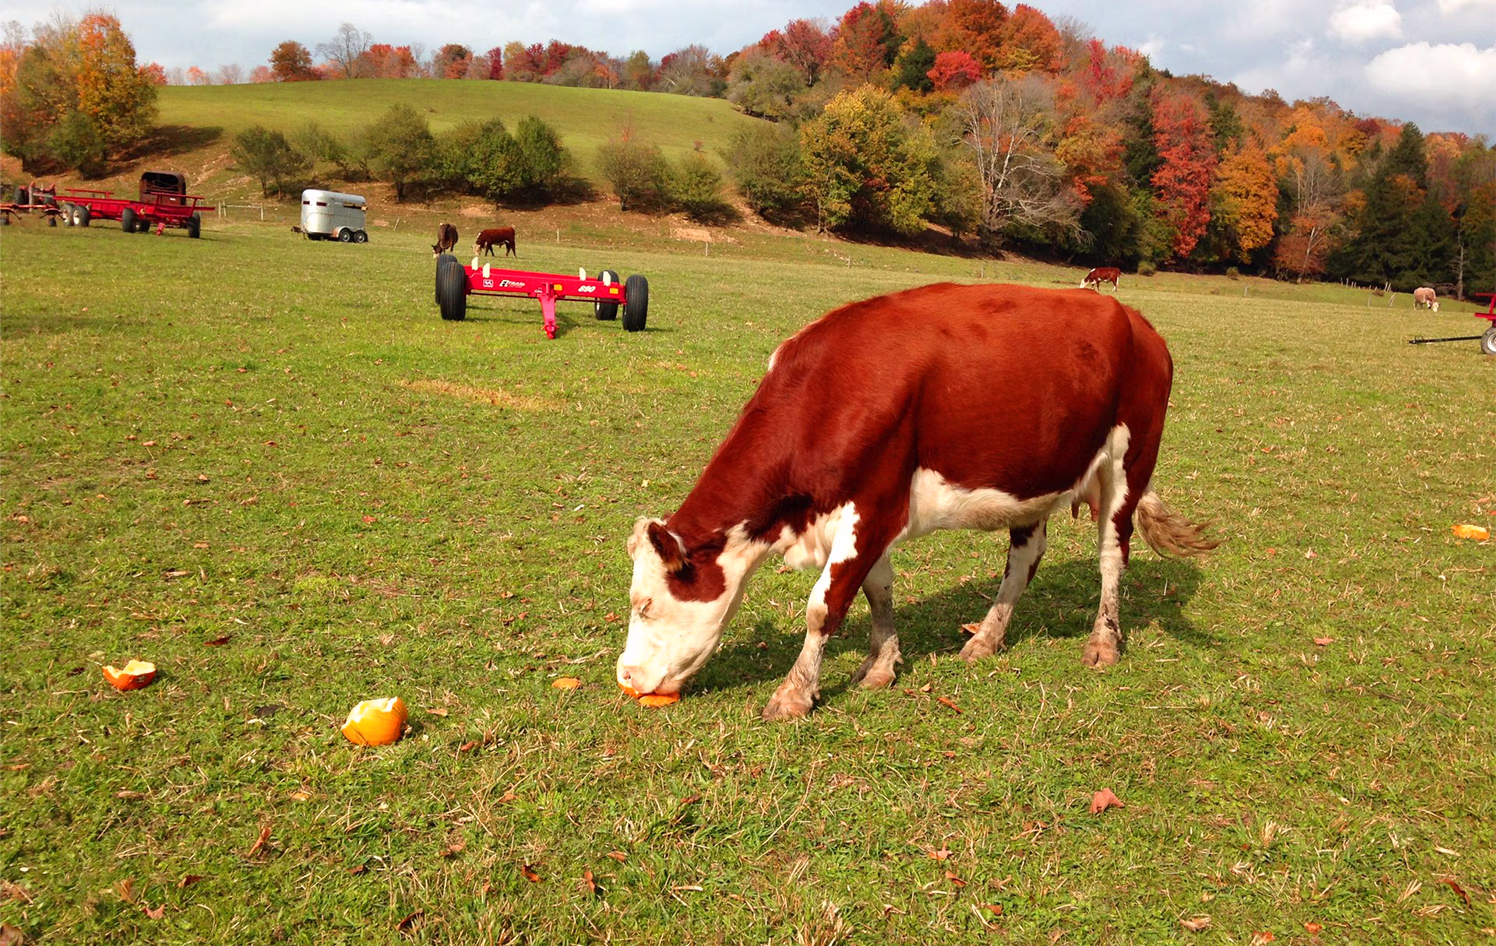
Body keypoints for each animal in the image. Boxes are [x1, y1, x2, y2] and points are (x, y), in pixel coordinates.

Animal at [618, 283, 1218, 721]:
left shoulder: (872, 506)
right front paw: (882, 664)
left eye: (644, 604)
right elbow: (877, 589)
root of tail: (1135, 320)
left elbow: (824, 606)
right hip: (1035, 474)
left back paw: (1103, 642)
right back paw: (987, 638)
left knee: (1112, 556)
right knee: (1024, 559)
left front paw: (794, 693)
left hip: (1128, 464)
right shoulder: (872, 509)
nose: (624, 676)